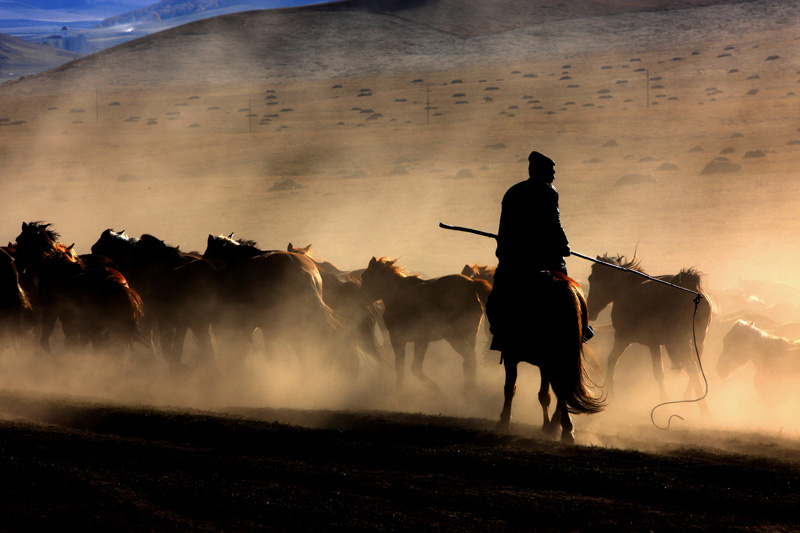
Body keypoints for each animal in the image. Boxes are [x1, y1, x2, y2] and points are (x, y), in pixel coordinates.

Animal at [360, 258, 490, 390]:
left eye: (365, 276)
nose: (360, 299)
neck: (398, 295)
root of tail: (472, 285)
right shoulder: (421, 340)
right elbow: (414, 368)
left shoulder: (398, 339)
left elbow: (402, 369)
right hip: (470, 335)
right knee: (469, 363)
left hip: (454, 337)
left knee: (470, 357)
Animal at [580, 254, 712, 400]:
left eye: (593, 278)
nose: (590, 310)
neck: (625, 289)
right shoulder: (654, 344)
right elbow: (659, 373)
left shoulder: (623, 338)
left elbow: (612, 359)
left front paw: (612, 392)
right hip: (698, 342)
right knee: (696, 370)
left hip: (681, 342)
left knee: (692, 369)